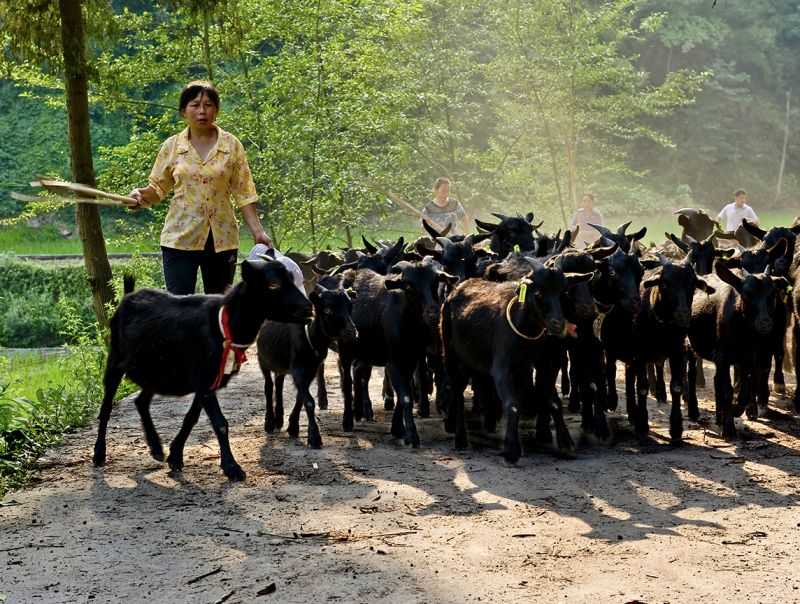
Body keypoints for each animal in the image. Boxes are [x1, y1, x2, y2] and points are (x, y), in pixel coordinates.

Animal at [94, 260, 312, 482]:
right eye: (273, 285)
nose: (308, 309)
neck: (224, 325)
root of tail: (128, 296)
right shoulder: (204, 380)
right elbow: (220, 423)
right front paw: (232, 467)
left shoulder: (206, 382)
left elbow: (191, 418)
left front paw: (175, 456)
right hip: (115, 361)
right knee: (106, 408)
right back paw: (99, 454)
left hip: (158, 371)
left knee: (141, 401)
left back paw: (156, 448)